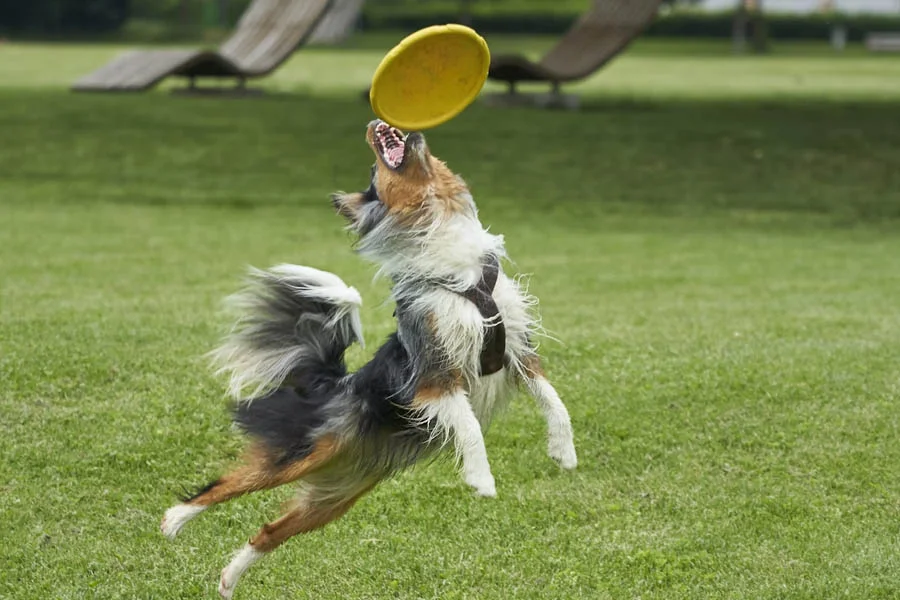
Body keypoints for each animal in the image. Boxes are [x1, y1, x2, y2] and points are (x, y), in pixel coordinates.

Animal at [160, 119, 576, 596]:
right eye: (374, 173)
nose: (391, 126)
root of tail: (334, 383)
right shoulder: (435, 376)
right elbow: (470, 427)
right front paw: (481, 479)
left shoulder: (518, 353)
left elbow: (555, 401)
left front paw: (564, 452)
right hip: (303, 451)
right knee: (228, 483)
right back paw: (175, 520)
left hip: (335, 495)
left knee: (269, 530)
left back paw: (229, 579)